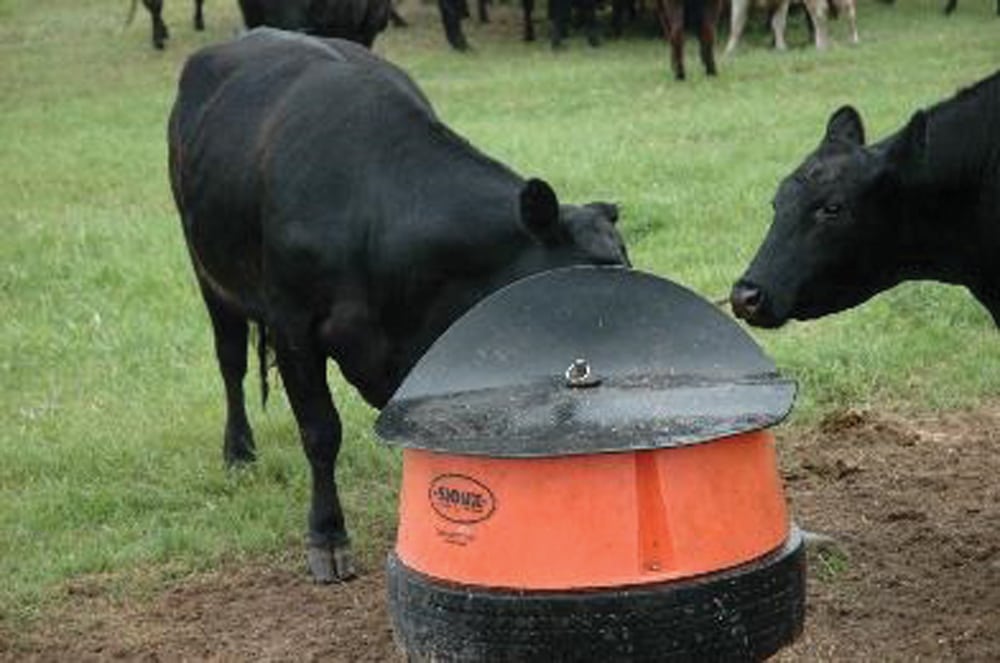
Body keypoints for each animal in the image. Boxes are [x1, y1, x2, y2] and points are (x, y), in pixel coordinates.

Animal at [168, 27, 630, 582]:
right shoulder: (294, 327)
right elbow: (320, 431)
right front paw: (327, 536)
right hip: (210, 275)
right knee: (231, 361)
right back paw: (238, 451)